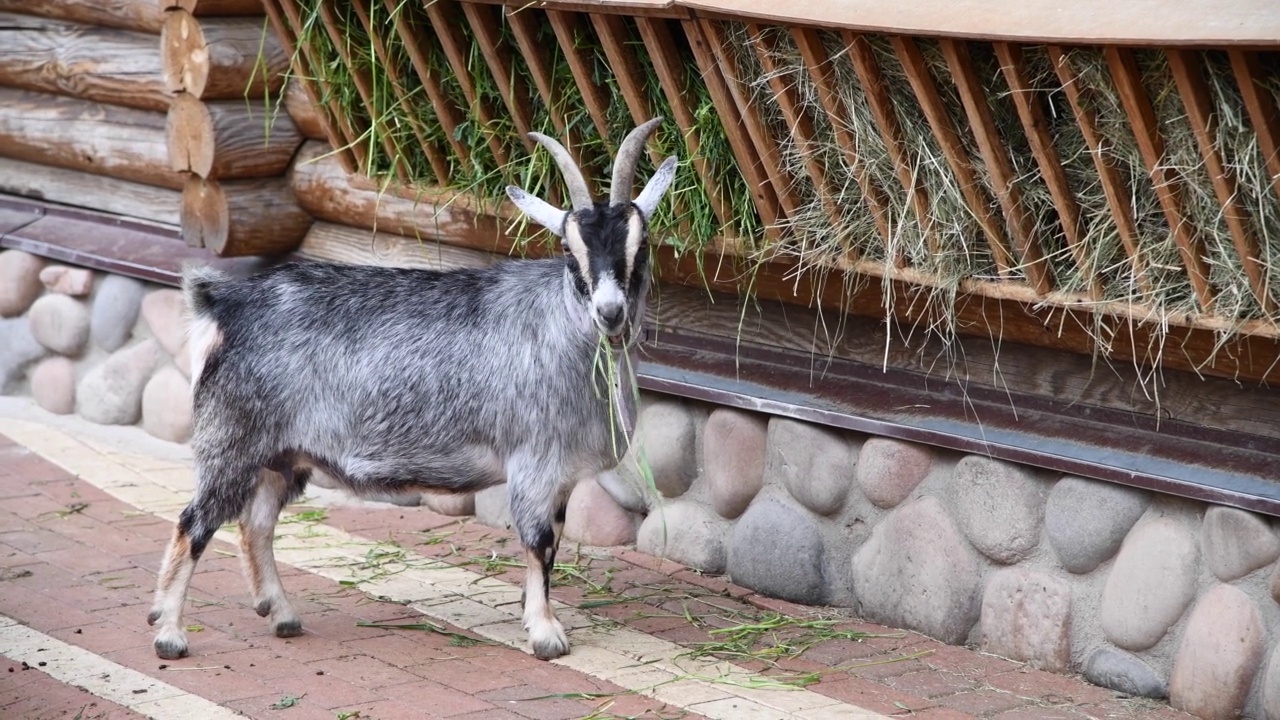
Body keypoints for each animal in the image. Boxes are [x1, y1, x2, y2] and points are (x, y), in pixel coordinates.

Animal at [147, 119, 680, 661]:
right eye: (571, 253)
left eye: (641, 246)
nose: (610, 312)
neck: (564, 329)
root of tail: (225, 302)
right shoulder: (534, 461)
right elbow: (537, 542)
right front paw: (546, 634)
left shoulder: (561, 476)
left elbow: (552, 544)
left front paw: (537, 617)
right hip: (232, 438)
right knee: (194, 522)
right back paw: (169, 633)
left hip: (282, 454)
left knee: (255, 524)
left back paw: (281, 615)